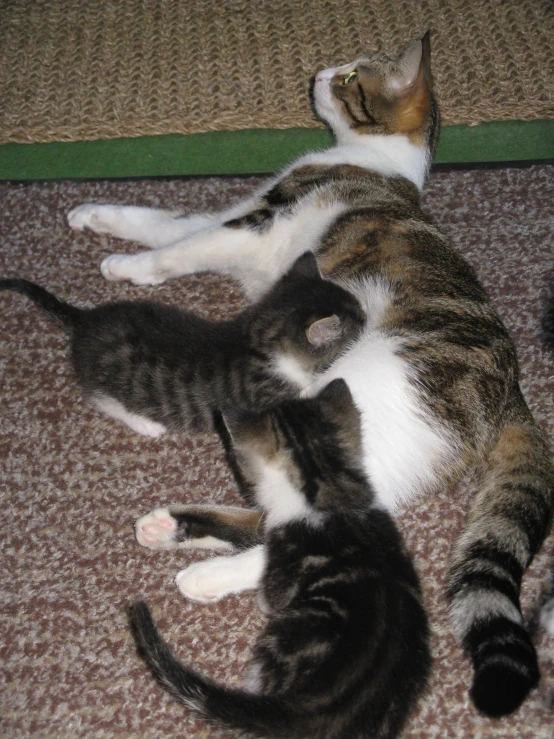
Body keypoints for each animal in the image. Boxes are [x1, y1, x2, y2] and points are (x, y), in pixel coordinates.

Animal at [0, 254, 364, 440]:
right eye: (358, 323)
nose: (368, 317)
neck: (259, 337)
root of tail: (86, 319)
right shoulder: (268, 397)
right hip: (105, 377)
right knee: (100, 398)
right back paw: (146, 424)